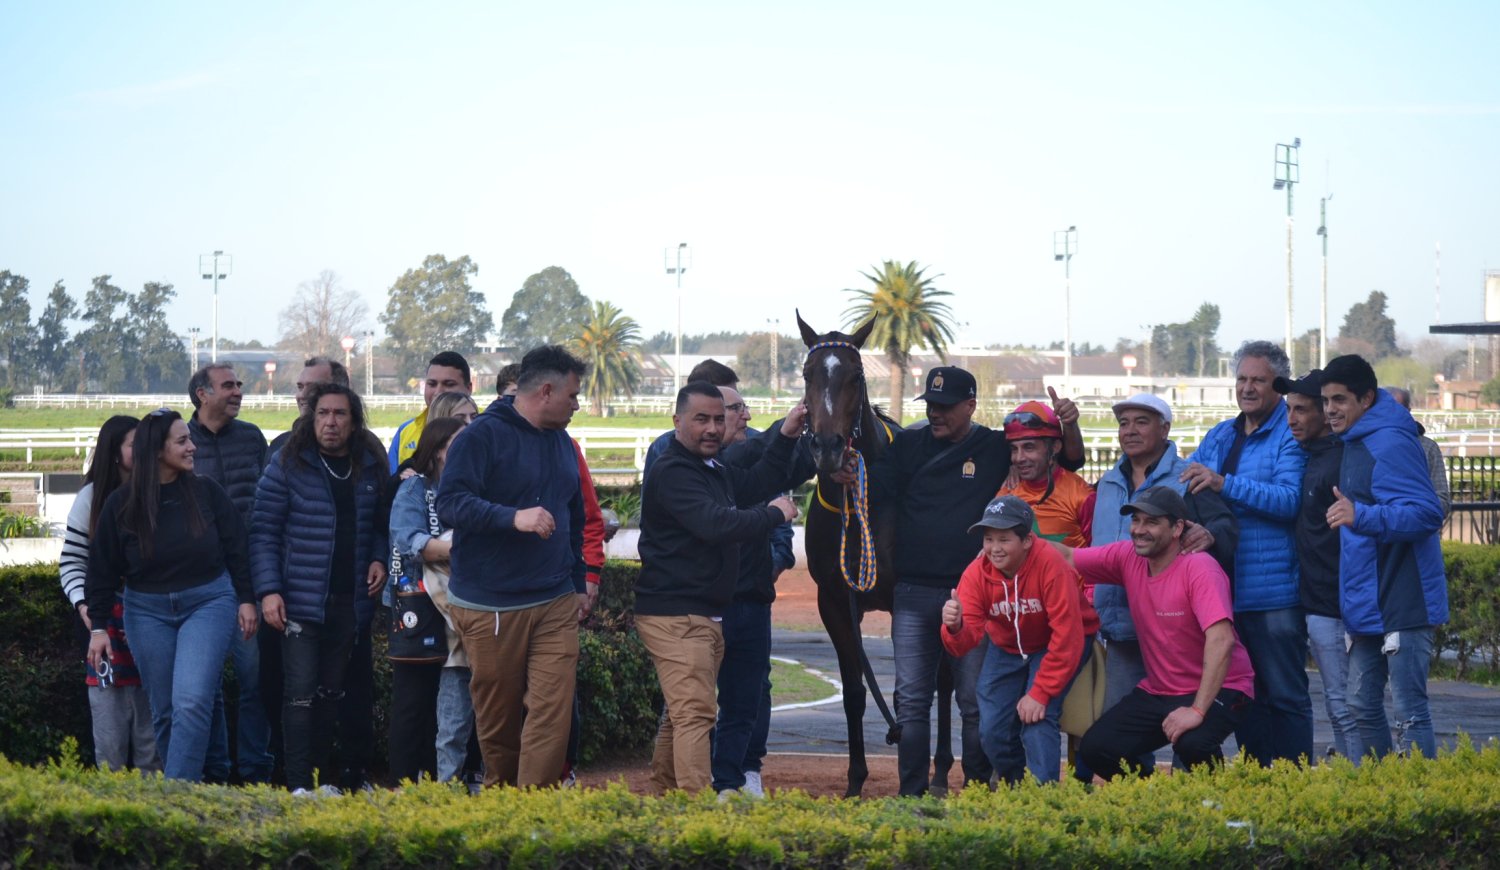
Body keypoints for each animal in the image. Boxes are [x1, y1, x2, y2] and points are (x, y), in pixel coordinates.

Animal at [796, 312, 957, 797]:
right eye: (808, 374)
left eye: (857, 375)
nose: (828, 448)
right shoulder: (834, 601)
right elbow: (854, 692)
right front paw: (855, 781)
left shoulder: (908, 598)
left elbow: (910, 689)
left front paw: (915, 779)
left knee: (945, 681)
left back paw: (941, 771)